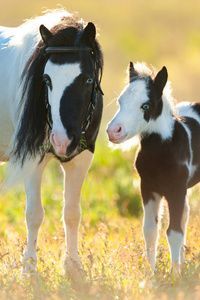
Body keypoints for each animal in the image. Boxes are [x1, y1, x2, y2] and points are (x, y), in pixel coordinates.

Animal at [0, 9, 103, 274]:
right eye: (46, 79)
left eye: (88, 80)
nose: (62, 141)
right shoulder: (30, 158)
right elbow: (34, 214)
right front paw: (29, 268)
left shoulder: (82, 158)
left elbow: (72, 213)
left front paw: (73, 266)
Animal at [107, 62, 200, 274]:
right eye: (120, 101)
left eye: (146, 105)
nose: (113, 131)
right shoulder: (148, 188)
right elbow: (150, 231)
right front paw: (152, 274)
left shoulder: (175, 189)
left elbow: (173, 231)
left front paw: (175, 276)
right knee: (185, 214)